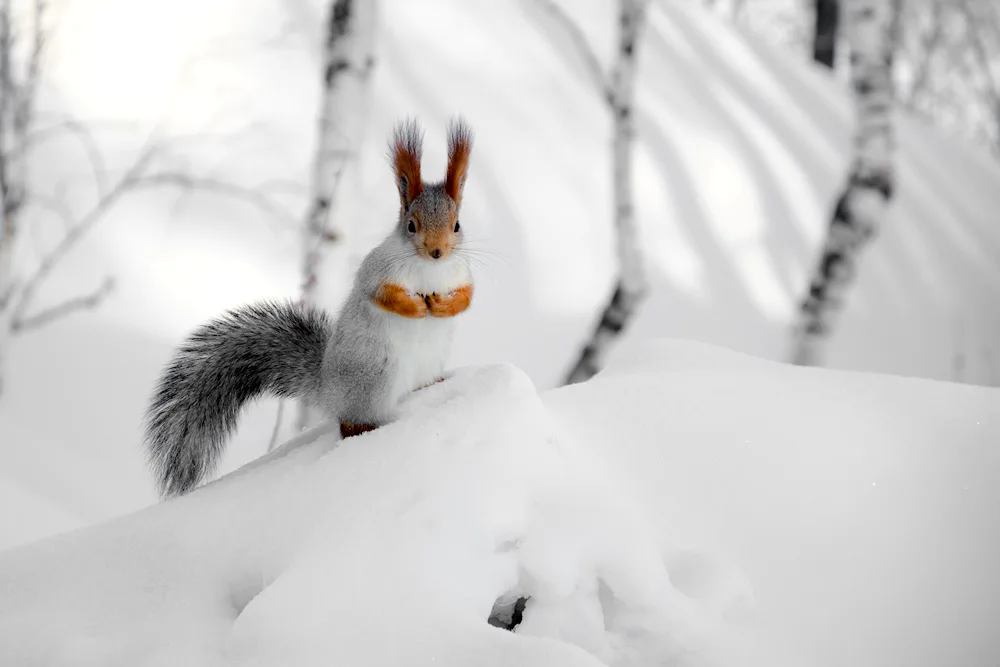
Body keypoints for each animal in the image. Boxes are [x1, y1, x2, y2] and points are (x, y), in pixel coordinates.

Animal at [142, 117, 480, 498]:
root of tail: (328, 389)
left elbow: (467, 296)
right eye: (411, 225)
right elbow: (381, 295)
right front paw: (415, 309)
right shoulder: (377, 271)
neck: (430, 270)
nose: (437, 251)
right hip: (375, 379)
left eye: (457, 225)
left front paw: (444, 306)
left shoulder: (462, 272)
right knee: (349, 424)